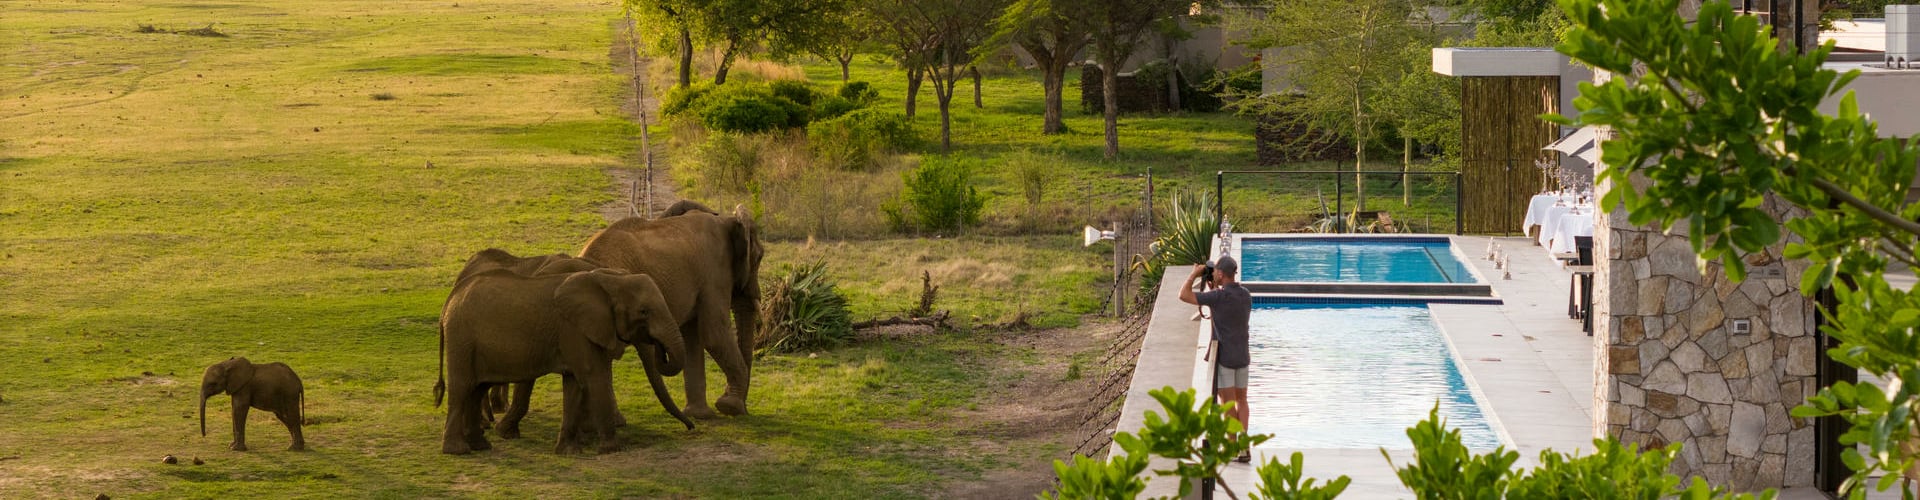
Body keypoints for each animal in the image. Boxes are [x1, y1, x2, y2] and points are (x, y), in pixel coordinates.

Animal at [439, 267, 695, 455]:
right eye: (644, 312)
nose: (691, 428)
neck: (609, 279)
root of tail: (450, 299)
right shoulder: (574, 329)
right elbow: (593, 378)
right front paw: (612, 449)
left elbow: (574, 384)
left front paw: (568, 452)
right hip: (461, 337)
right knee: (462, 387)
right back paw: (458, 451)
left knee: (477, 389)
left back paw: (480, 446)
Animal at [579, 204, 760, 419]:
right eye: (759, 258)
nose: (744, 410)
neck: (727, 219)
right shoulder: (714, 273)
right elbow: (714, 334)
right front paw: (729, 407)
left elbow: (692, 338)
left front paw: (701, 415)